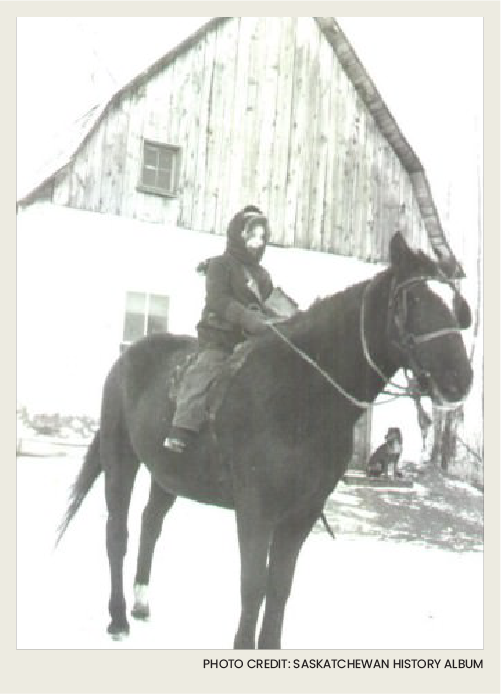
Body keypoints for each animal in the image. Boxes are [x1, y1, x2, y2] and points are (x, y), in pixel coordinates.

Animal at [56, 232, 472, 649]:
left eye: (454, 303)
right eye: (413, 299)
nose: (461, 379)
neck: (300, 394)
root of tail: (127, 360)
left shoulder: (302, 515)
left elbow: (279, 587)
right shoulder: (256, 511)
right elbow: (254, 586)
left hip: (168, 474)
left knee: (150, 524)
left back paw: (140, 603)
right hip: (120, 458)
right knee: (117, 533)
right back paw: (118, 618)